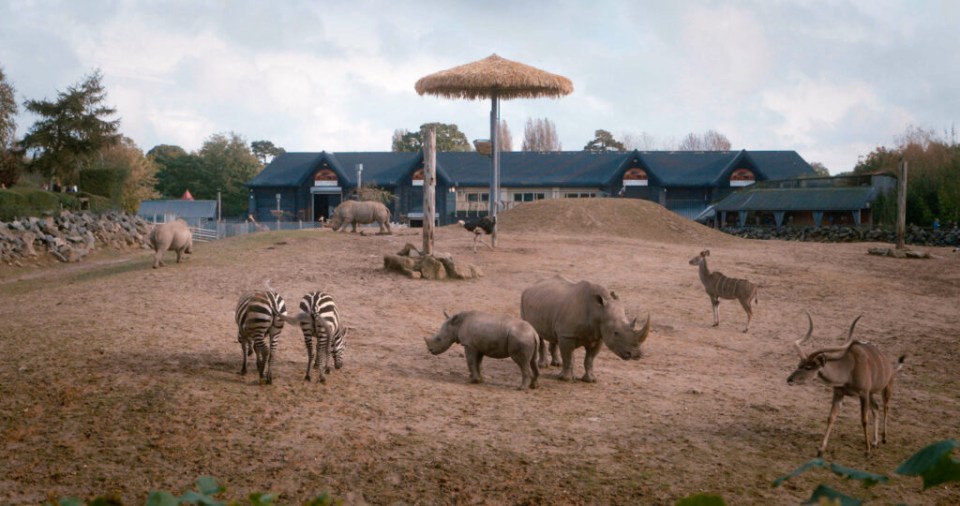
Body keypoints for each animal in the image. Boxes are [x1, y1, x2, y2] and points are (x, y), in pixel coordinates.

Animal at [784, 312, 904, 458]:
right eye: (798, 365)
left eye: (808, 367)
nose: (789, 380)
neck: (848, 370)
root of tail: (891, 366)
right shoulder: (839, 392)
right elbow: (831, 417)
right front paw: (821, 450)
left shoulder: (863, 394)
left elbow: (864, 419)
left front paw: (867, 451)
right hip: (871, 394)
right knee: (876, 408)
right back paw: (875, 442)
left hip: (886, 387)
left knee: (886, 407)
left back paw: (883, 439)